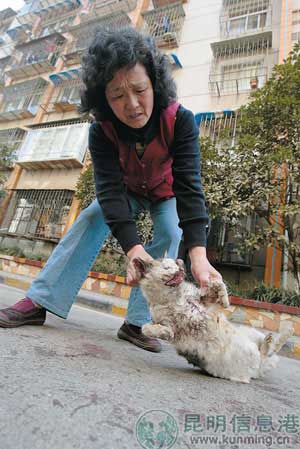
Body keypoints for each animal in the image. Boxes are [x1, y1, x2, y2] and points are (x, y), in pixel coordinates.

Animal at [134, 258, 292, 384]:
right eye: (166, 267)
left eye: (175, 263)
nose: (180, 265)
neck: (175, 297)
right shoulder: (169, 324)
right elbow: (146, 328)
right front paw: (164, 332)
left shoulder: (206, 304)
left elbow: (217, 284)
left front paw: (225, 300)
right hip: (252, 363)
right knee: (267, 352)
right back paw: (274, 338)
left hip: (254, 333)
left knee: (271, 349)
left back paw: (281, 333)